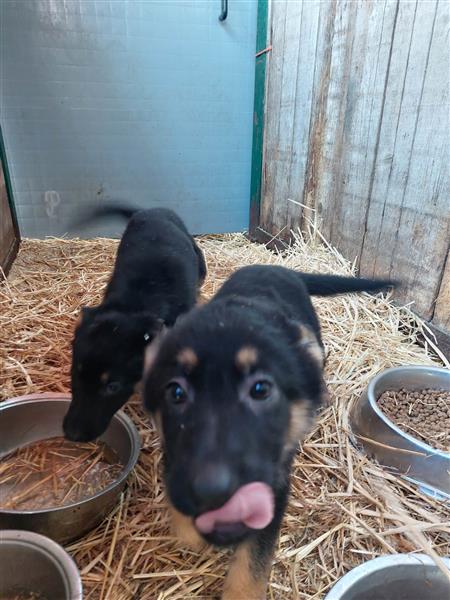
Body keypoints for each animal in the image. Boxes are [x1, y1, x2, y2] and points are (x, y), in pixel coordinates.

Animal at [144, 268, 394, 600]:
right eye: (175, 392)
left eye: (261, 390)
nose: (212, 492)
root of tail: (273, 266)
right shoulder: (173, 459)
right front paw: (187, 533)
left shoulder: (275, 484)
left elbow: (252, 564)